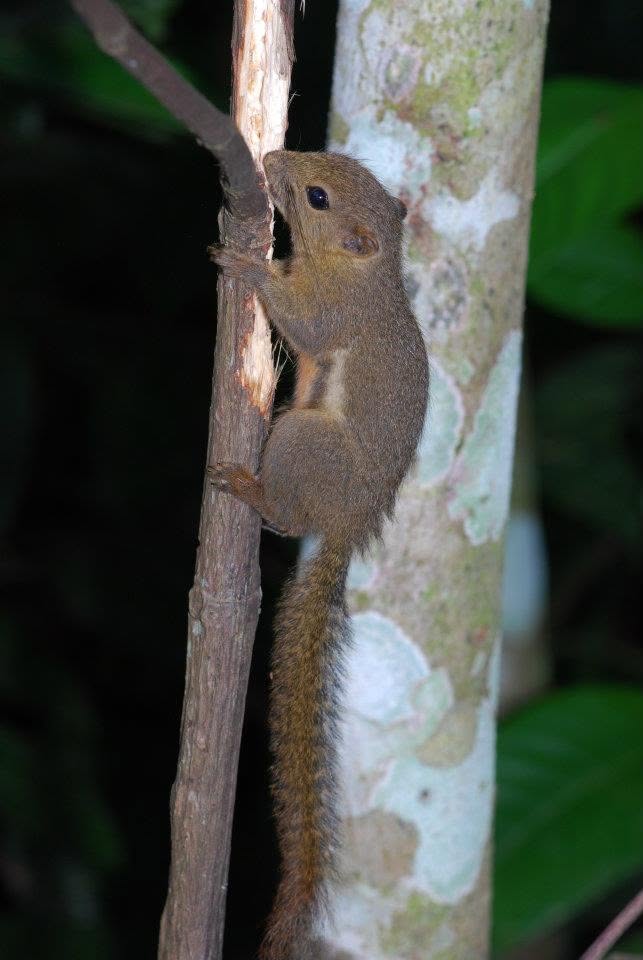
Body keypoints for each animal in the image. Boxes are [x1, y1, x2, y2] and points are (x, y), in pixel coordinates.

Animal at [208, 150, 429, 960]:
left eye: (317, 196)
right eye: (328, 167)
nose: (271, 158)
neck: (364, 270)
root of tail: (347, 525)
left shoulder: (336, 313)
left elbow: (303, 321)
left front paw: (247, 264)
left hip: (308, 444)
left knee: (284, 509)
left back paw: (251, 488)